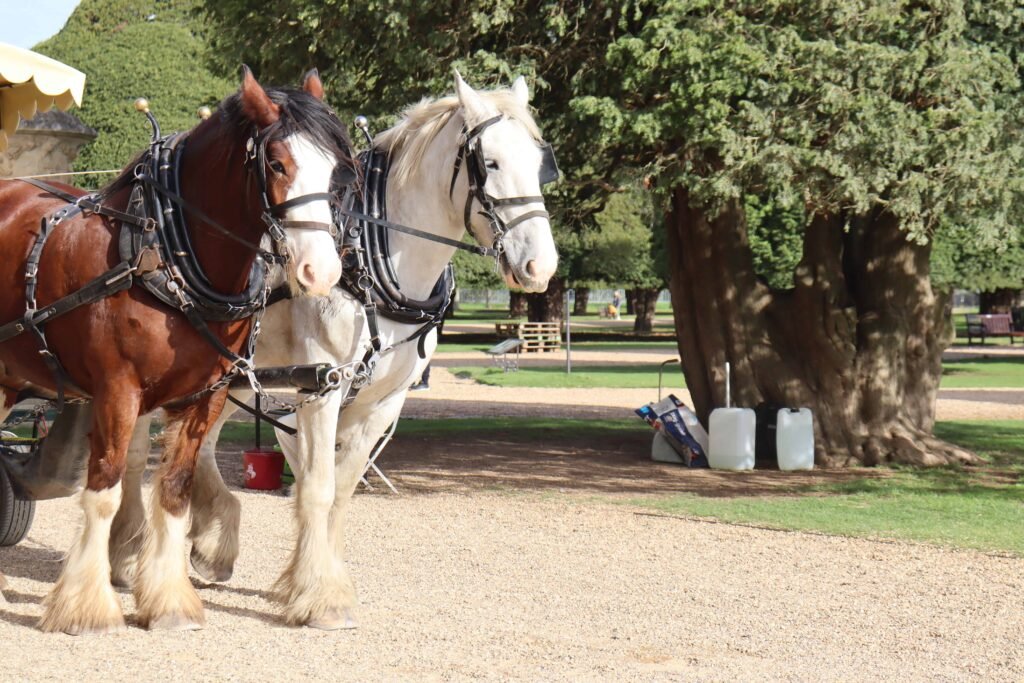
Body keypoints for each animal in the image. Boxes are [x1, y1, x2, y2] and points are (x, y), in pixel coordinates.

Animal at [0, 67, 352, 634]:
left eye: (336, 169)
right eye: (276, 163)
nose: (320, 271)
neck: (163, 253)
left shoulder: (205, 396)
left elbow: (174, 491)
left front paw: (168, 603)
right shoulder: (116, 391)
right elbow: (104, 493)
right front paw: (87, 608)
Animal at [113, 73, 560, 630]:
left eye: (541, 163)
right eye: (490, 162)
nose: (540, 265)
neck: (370, 256)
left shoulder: (381, 401)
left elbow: (341, 489)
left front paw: (318, 581)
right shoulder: (324, 387)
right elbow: (317, 487)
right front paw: (319, 598)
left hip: (235, 374)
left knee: (206, 444)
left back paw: (213, 541)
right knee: (136, 456)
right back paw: (128, 553)